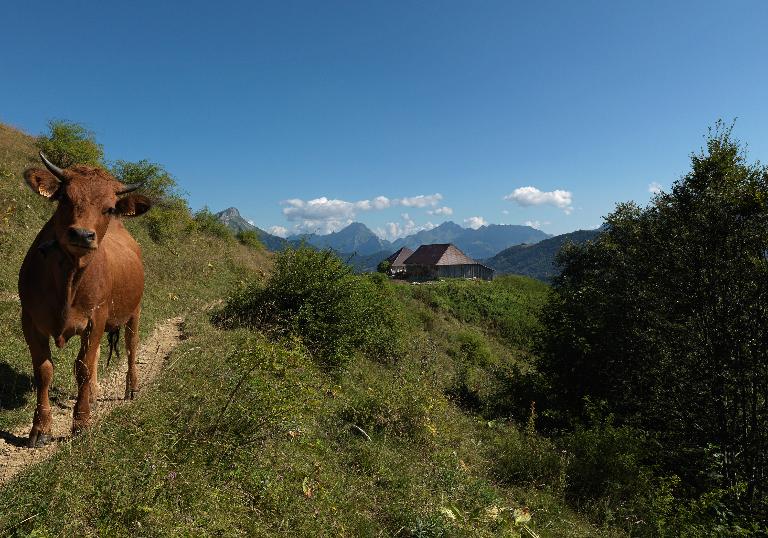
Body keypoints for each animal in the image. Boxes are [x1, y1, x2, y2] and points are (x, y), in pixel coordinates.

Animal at [19, 153, 152, 446]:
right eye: (64, 198)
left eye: (109, 208)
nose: (82, 234)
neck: (68, 278)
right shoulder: (30, 319)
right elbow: (44, 371)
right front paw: (41, 428)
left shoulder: (96, 317)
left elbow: (82, 368)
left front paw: (81, 422)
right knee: (96, 356)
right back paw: (92, 394)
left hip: (134, 311)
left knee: (130, 346)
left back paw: (132, 387)